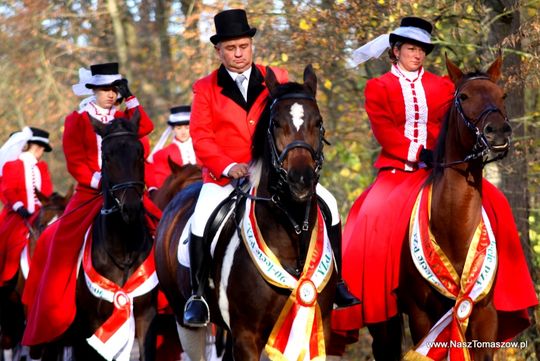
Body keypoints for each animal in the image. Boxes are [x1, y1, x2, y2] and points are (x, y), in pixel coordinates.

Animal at [155, 64, 338, 358]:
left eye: (318, 122)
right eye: (275, 123)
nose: (300, 180)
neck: (291, 234)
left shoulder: (317, 329)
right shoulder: (246, 337)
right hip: (185, 322)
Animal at [372, 57, 510, 358]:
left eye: (502, 95)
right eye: (464, 96)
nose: (498, 132)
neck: (454, 228)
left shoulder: (484, 314)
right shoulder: (422, 316)